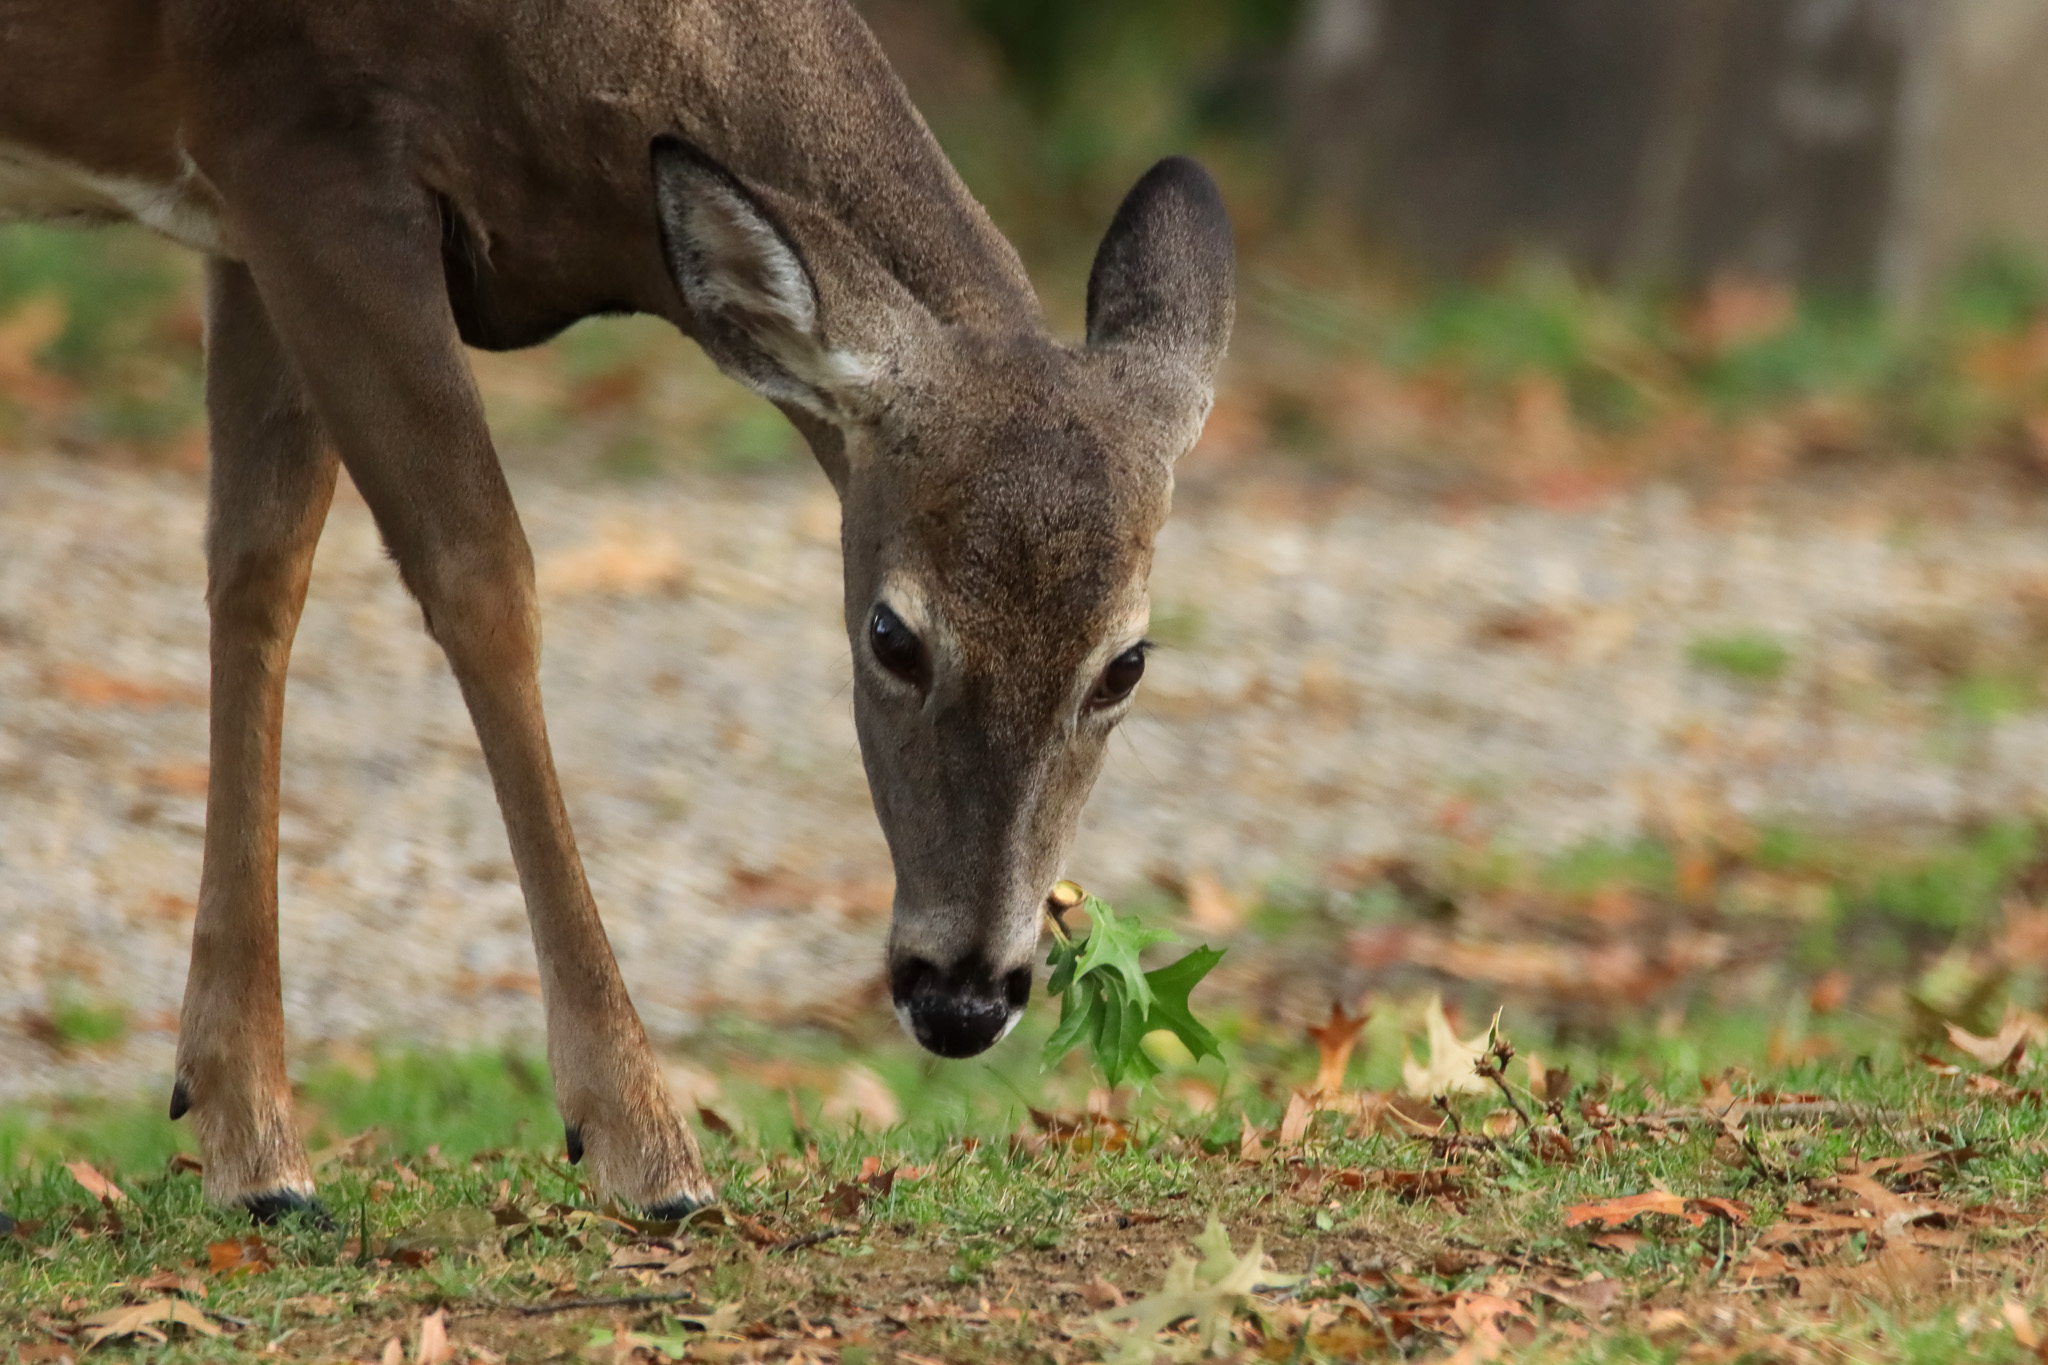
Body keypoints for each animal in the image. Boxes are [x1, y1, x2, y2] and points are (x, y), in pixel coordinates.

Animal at [0, 0, 1228, 1219]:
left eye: (1125, 663)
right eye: (892, 636)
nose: (963, 998)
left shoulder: (243, 212)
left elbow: (257, 568)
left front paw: (248, 1140)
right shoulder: (301, 147)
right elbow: (483, 577)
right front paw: (644, 1143)